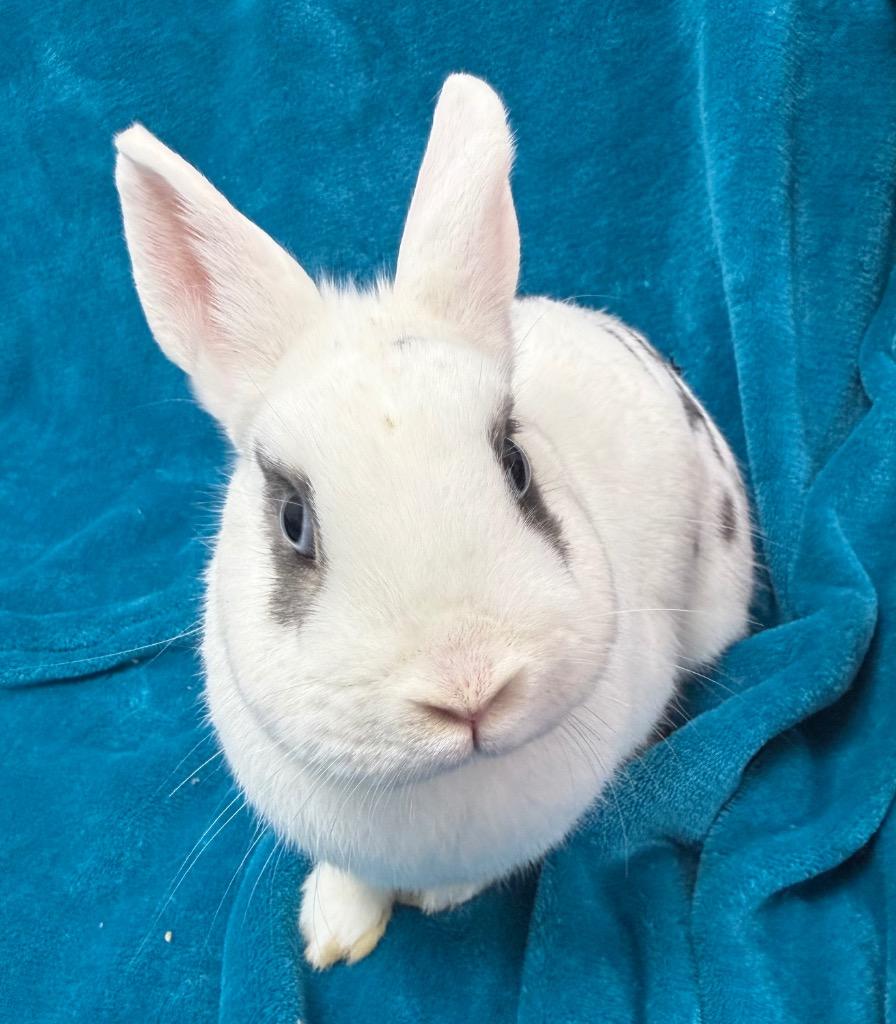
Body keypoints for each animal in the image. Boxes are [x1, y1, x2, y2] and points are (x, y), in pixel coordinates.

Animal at [114, 73, 753, 969]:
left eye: (516, 467)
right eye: (292, 520)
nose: (468, 688)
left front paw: (439, 898)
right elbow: (351, 879)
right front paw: (333, 933)